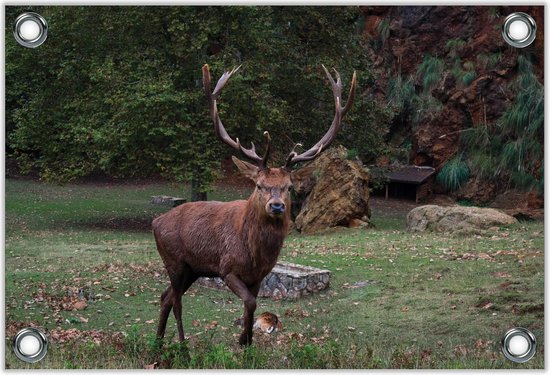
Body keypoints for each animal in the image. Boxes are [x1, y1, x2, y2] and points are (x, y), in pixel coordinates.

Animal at [152, 64, 358, 346]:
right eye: (259, 185)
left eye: (289, 187)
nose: (276, 206)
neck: (255, 253)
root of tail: (155, 222)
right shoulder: (227, 268)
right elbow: (250, 303)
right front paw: (242, 339)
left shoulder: (259, 276)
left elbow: (252, 306)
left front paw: (247, 341)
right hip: (173, 261)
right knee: (177, 302)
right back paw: (182, 345)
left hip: (192, 269)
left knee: (166, 298)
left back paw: (159, 342)